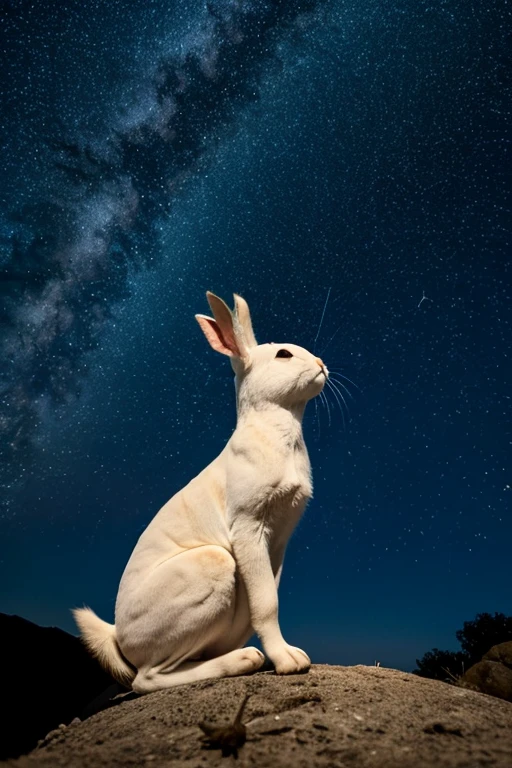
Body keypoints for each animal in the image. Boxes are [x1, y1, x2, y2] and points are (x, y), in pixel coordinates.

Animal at [73, 292, 328, 692]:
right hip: (212, 565)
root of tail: (119, 636)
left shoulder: (279, 541)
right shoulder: (249, 527)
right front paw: (288, 661)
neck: (277, 429)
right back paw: (242, 660)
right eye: (284, 354)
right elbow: (266, 603)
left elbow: (267, 597)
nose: (321, 364)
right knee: (147, 678)